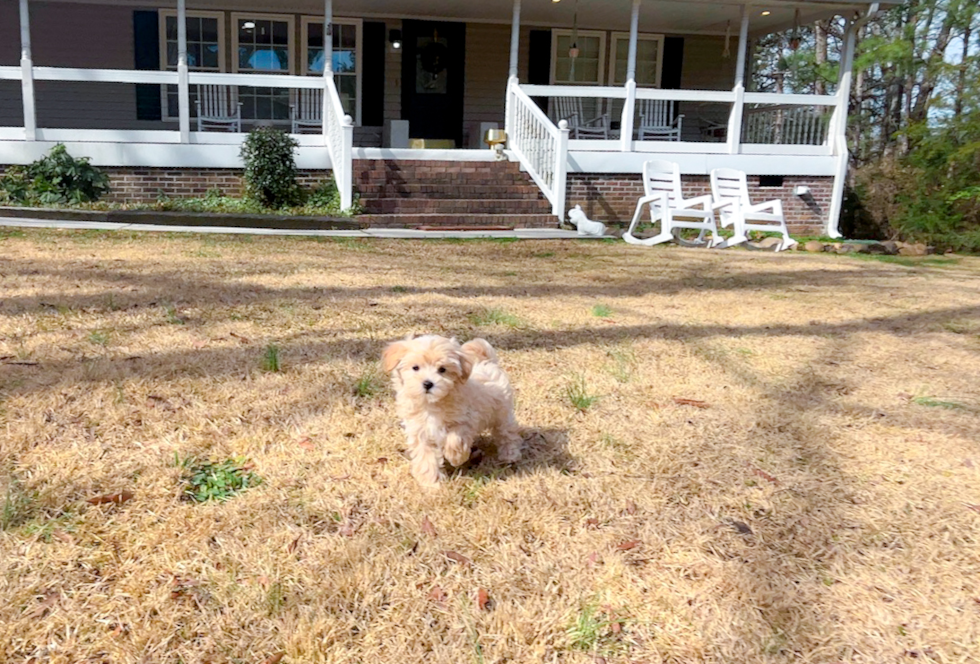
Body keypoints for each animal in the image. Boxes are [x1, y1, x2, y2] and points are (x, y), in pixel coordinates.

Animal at [380, 334, 520, 486]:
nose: (428, 383)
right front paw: (431, 482)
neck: (432, 404)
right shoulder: (420, 432)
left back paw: (510, 454)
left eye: (442, 369)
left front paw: (456, 458)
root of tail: (487, 362)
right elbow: (426, 457)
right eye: (415, 367)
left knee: (507, 433)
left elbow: (455, 438)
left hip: (502, 413)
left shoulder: (465, 419)